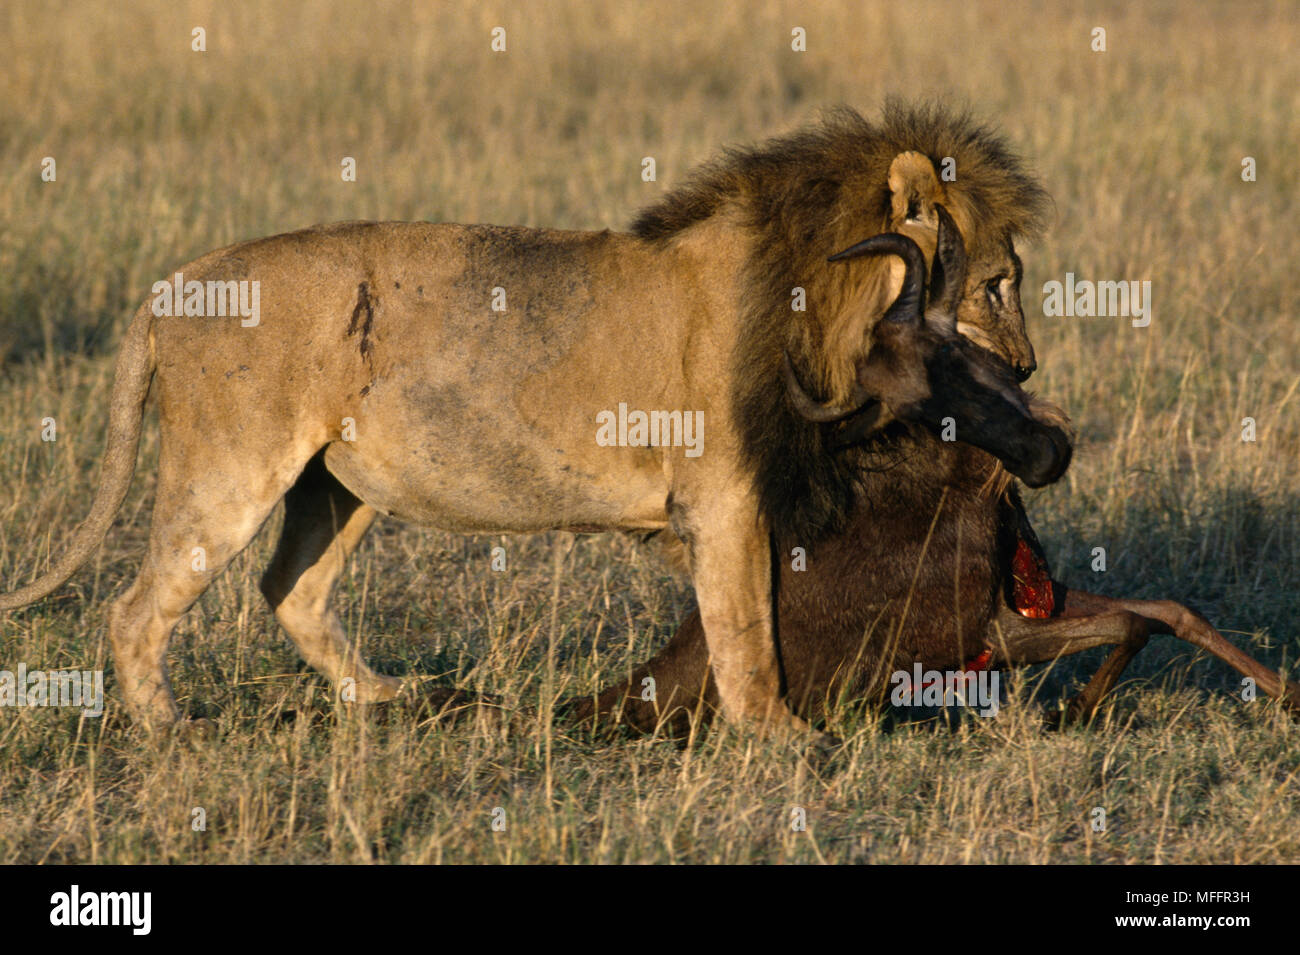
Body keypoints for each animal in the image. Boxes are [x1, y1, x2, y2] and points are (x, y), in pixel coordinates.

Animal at [0, 102, 1063, 742]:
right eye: (999, 285)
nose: (1028, 370)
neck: (818, 292)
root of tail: (171, 287)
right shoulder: (725, 498)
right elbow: (746, 626)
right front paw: (780, 738)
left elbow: (747, 618)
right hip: (230, 467)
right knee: (136, 608)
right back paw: (169, 731)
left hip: (334, 483)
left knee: (290, 590)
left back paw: (388, 701)